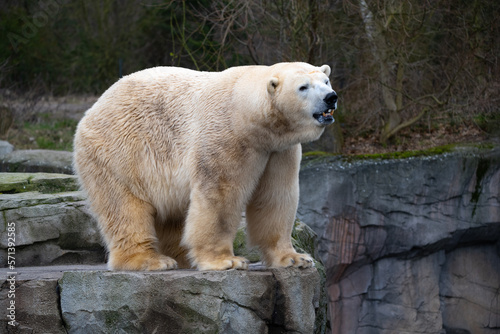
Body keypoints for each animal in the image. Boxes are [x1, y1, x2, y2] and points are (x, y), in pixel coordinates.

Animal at [74, 62, 338, 272]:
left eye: (325, 81)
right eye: (303, 87)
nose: (331, 97)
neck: (245, 112)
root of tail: (92, 109)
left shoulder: (278, 150)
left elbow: (276, 197)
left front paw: (295, 258)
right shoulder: (226, 137)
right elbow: (220, 196)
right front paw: (227, 261)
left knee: (172, 214)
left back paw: (182, 257)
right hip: (119, 154)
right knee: (125, 207)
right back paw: (151, 260)